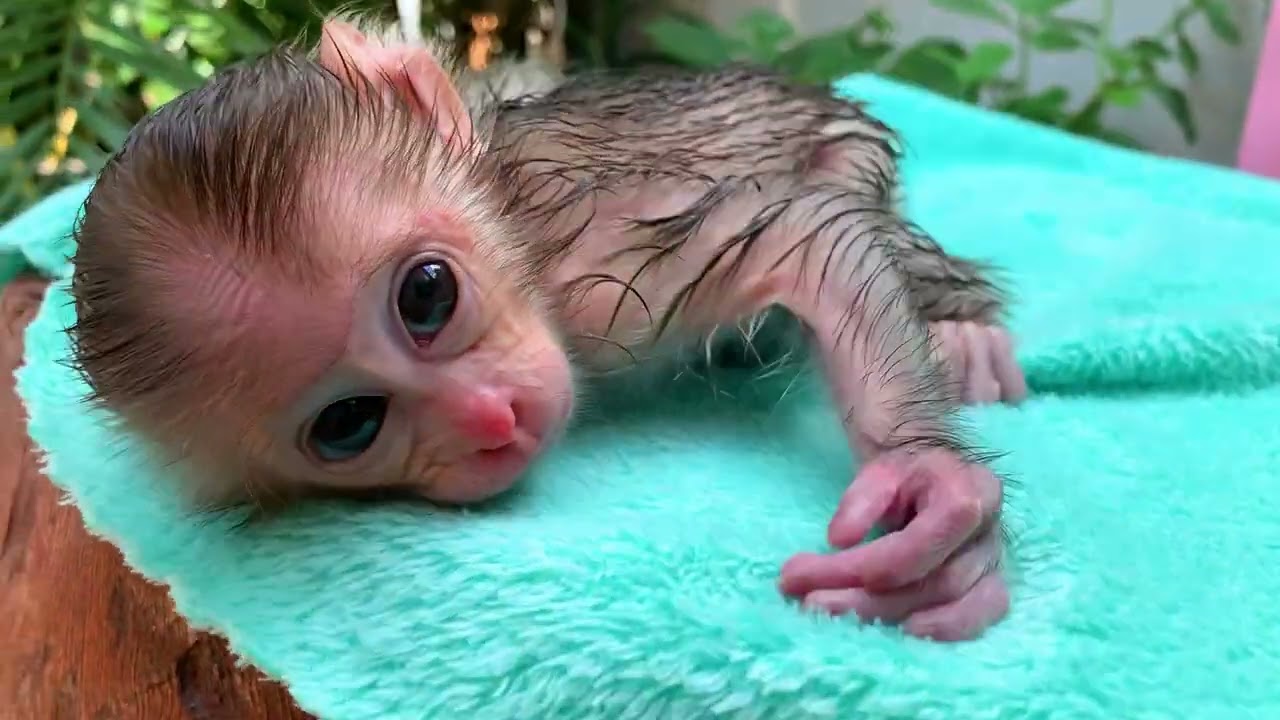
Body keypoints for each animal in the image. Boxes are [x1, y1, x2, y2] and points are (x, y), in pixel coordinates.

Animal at [65, 17, 1025, 642]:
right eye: (348, 425)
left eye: (427, 295)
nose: (493, 418)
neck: (509, 221)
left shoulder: (605, 268)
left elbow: (804, 232)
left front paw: (932, 498)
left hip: (853, 145)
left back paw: (959, 323)